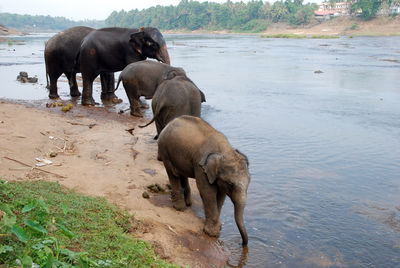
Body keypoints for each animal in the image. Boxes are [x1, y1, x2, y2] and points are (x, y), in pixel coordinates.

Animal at [157, 115, 248, 245]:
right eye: (231, 184)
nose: (242, 244)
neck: (224, 150)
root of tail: (169, 123)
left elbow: (220, 195)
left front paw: (218, 227)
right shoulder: (200, 166)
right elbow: (207, 191)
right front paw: (212, 233)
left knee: (181, 173)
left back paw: (188, 203)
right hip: (165, 150)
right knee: (173, 173)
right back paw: (180, 208)